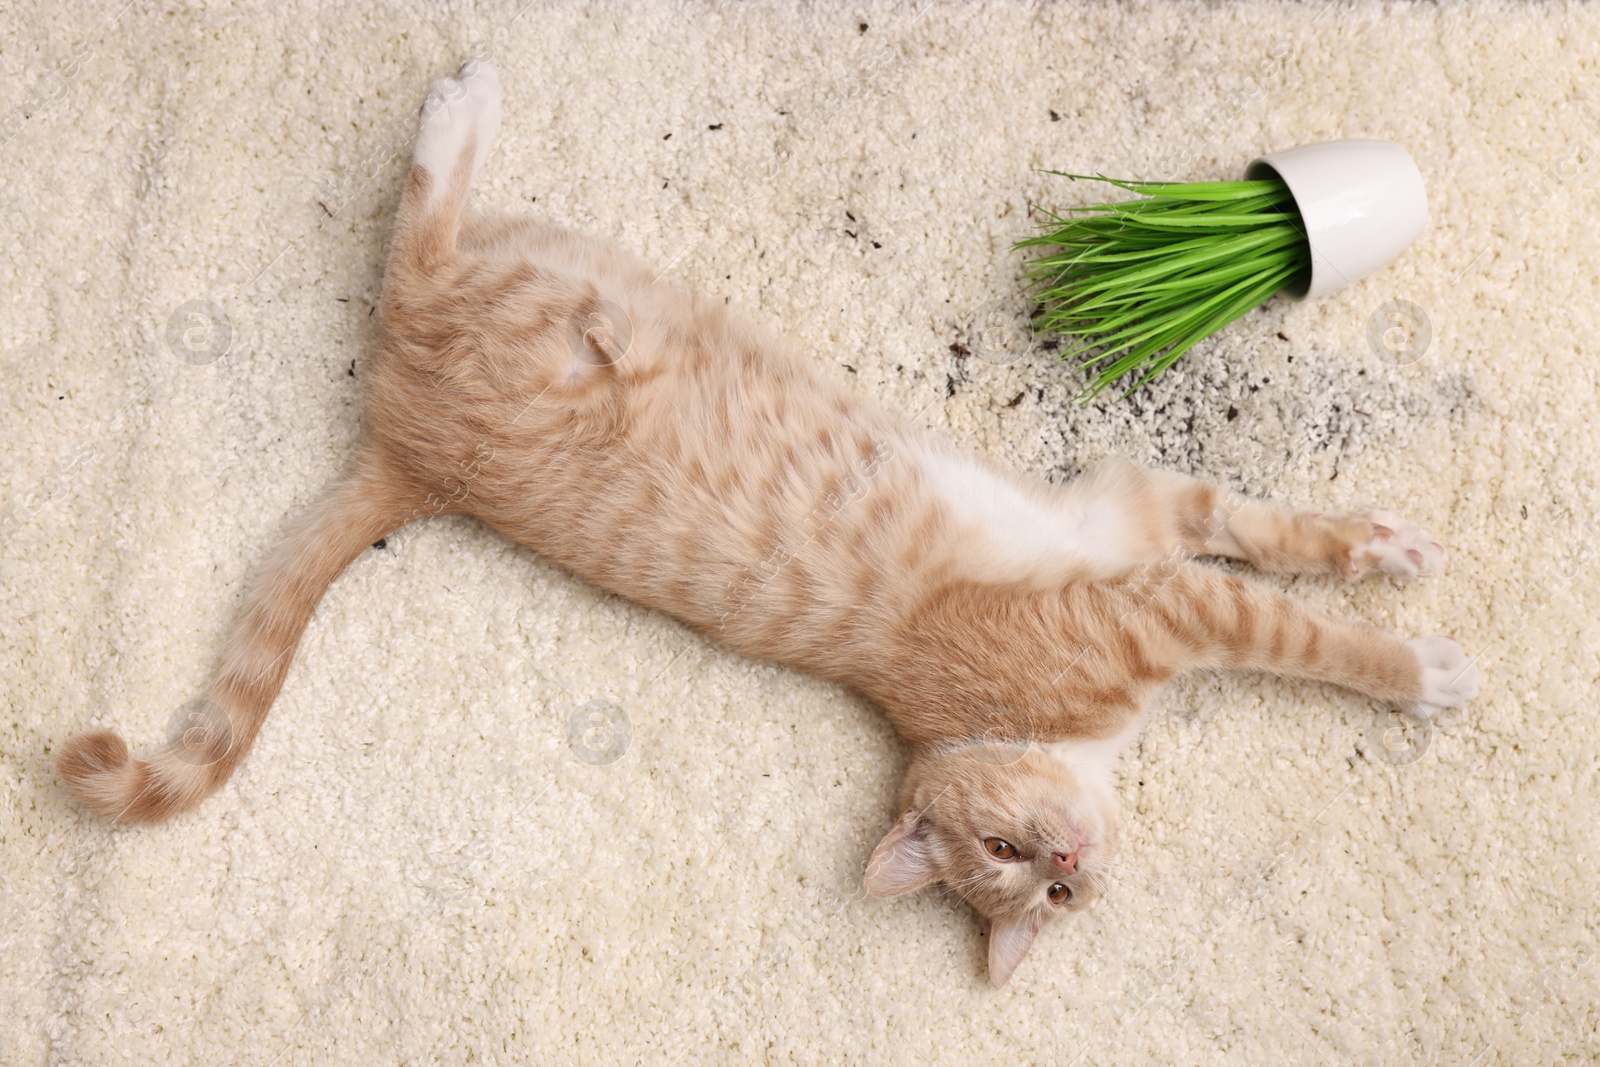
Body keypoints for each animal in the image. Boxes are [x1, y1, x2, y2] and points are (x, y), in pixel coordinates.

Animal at [56, 62, 1478, 991]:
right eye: (1010, 863)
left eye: (1049, 880)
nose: (1068, 861)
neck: (1053, 734)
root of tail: (403, 459)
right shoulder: (1165, 596)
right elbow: (1309, 636)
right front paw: (1422, 667)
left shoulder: (1141, 511)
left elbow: (1272, 533)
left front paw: (1383, 550)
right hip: (517, 309)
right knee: (411, 241)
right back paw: (462, 108)